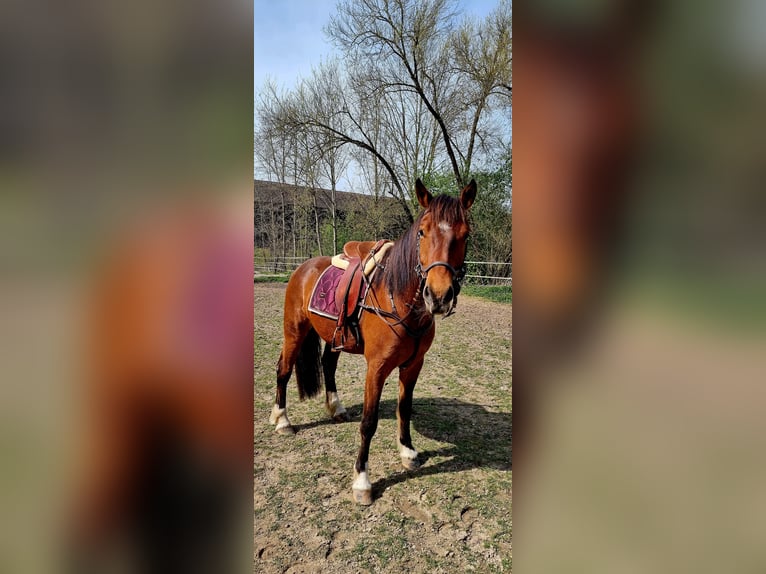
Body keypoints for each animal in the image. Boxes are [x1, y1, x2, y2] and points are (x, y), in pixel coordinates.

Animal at [268, 178, 474, 506]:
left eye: (465, 234)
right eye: (422, 232)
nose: (438, 296)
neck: (399, 299)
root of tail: (302, 267)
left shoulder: (414, 365)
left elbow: (405, 408)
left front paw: (408, 452)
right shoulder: (376, 368)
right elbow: (369, 422)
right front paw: (362, 481)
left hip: (334, 338)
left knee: (327, 365)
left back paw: (336, 409)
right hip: (294, 332)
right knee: (283, 370)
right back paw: (282, 420)